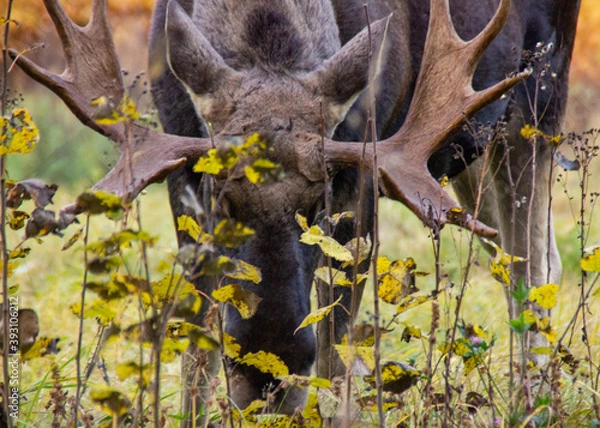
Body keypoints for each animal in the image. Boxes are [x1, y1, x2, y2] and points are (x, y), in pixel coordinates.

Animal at [10, 0, 580, 424]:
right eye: (220, 198)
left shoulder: (366, 174)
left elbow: (335, 353)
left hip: (539, 100)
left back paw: (534, 403)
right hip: (468, 150)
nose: (269, 375)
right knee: (524, 256)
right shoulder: (177, 172)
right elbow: (195, 348)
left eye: (319, 203)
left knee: (531, 267)